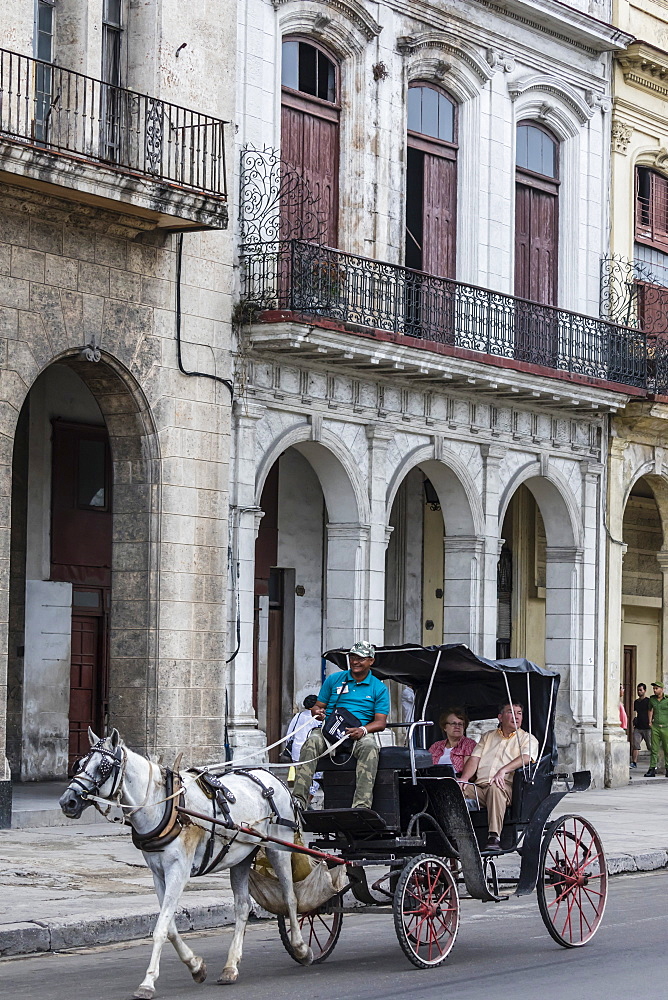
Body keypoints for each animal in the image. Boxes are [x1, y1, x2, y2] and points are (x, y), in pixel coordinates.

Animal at [60, 728, 310, 1000]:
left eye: (102, 767)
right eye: (79, 764)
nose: (67, 801)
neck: (164, 805)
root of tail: (271, 777)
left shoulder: (178, 871)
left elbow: (161, 927)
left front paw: (148, 983)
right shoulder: (158, 873)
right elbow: (168, 926)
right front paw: (196, 966)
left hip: (279, 847)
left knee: (290, 897)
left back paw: (301, 948)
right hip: (241, 856)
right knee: (243, 906)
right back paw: (231, 967)